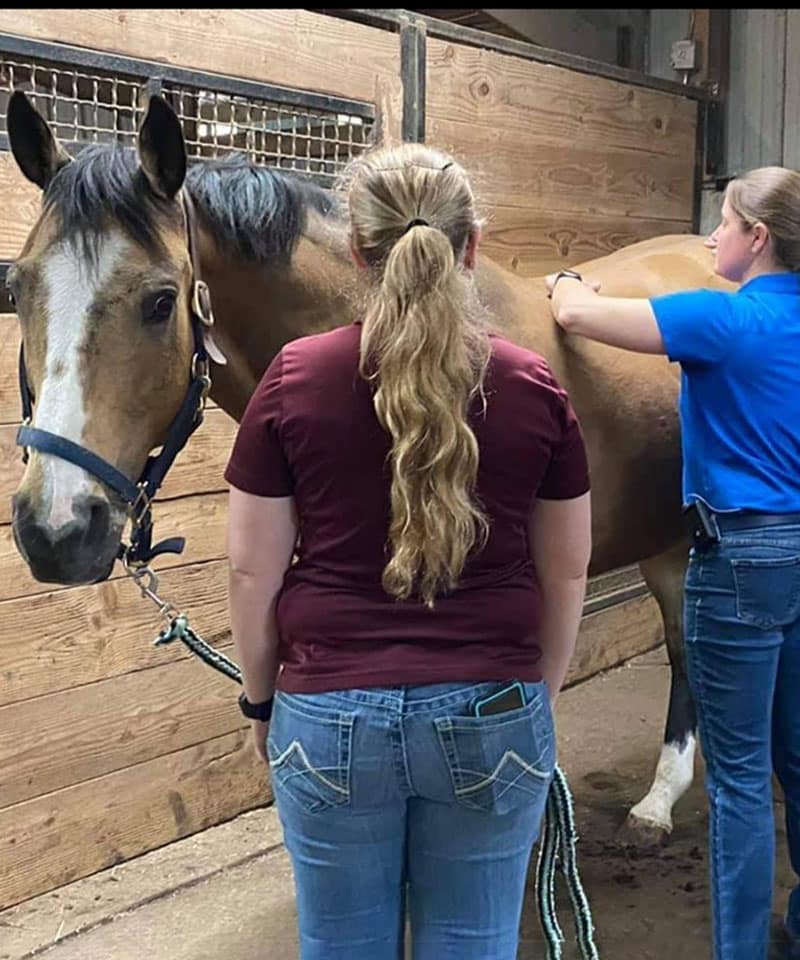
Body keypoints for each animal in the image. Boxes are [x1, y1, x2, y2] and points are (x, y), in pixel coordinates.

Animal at [5, 89, 733, 840]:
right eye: (16, 287)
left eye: (160, 301)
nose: (55, 528)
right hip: (668, 539)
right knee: (684, 645)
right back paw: (658, 799)